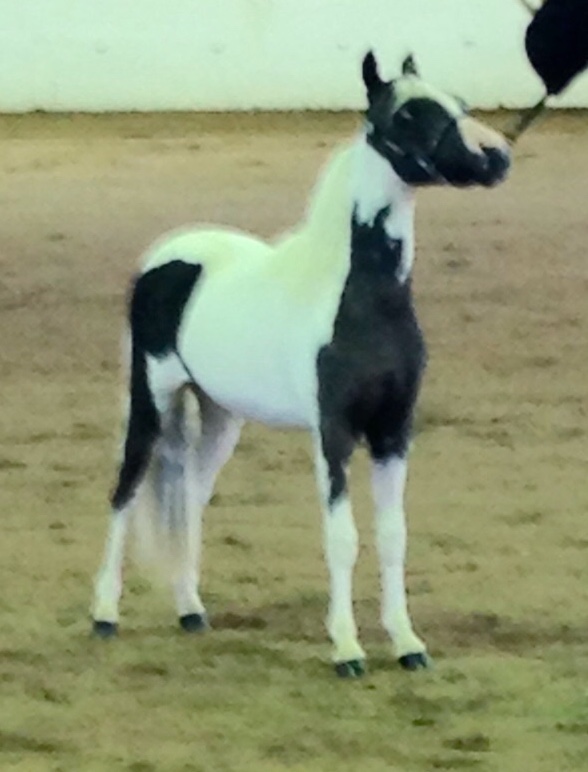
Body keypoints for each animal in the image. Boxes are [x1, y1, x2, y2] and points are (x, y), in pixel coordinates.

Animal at [92, 51, 511, 677]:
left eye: (456, 102)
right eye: (409, 113)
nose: (497, 155)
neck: (354, 299)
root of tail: (165, 258)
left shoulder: (394, 429)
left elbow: (393, 535)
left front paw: (408, 643)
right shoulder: (332, 430)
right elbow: (343, 537)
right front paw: (347, 650)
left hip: (221, 416)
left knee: (188, 498)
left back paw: (191, 611)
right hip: (152, 401)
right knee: (125, 490)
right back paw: (104, 616)